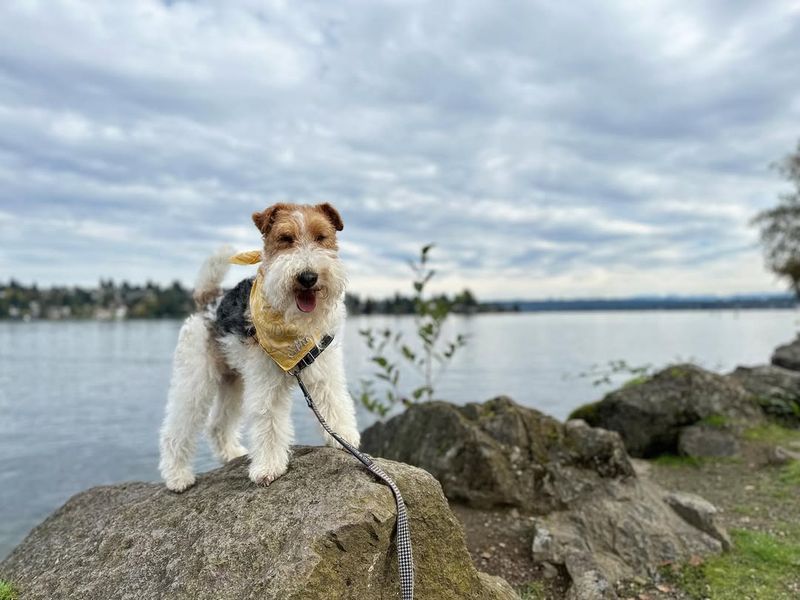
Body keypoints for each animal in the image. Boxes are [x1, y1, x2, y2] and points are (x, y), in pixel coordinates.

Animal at [159, 202, 360, 492]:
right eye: (285, 239)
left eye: (321, 237)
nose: (308, 277)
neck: (293, 325)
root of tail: (209, 300)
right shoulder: (267, 384)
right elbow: (269, 423)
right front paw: (268, 468)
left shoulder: (325, 371)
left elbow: (334, 403)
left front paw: (343, 437)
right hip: (195, 380)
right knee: (176, 429)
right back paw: (177, 477)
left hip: (233, 381)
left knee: (217, 425)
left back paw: (233, 454)